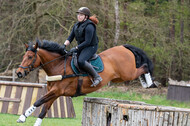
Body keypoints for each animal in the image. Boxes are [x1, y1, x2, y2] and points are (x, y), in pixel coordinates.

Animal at [15, 39, 154, 126]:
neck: (58, 66)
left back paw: (148, 83)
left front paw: (22, 117)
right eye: (24, 56)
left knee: (145, 66)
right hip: (119, 77)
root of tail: (123, 47)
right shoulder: (54, 93)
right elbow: (43, 110)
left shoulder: (56, 91)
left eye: (30, 57)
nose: (19, 73)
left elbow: (38, 101)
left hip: (127, 73)